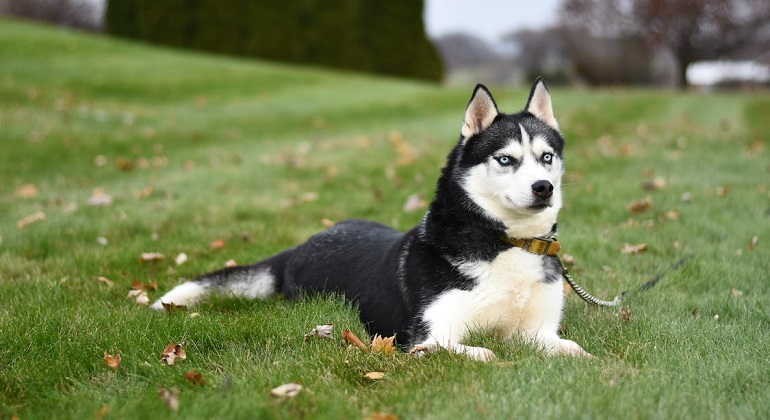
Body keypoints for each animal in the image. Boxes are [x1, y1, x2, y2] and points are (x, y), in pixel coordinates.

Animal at [153, 79, 592, 360]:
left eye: (546, 157)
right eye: (505, 159)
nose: (543, 188)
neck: (506, 242)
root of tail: (302, 244)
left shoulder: (537, 331)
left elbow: (572, 349)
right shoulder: (429, 334)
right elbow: (483, 352)